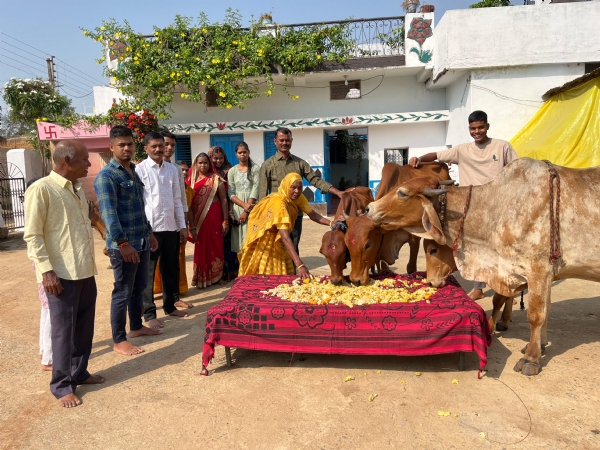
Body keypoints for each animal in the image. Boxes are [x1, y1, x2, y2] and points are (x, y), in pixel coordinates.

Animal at [364, 158, 600, 376]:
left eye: (402, 193)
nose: (368, 208)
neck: (497, 210)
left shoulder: (538, 269)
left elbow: (536, 315)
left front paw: (531, 358)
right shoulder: (538, 274)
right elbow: (544, 309)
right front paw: (539, 346)